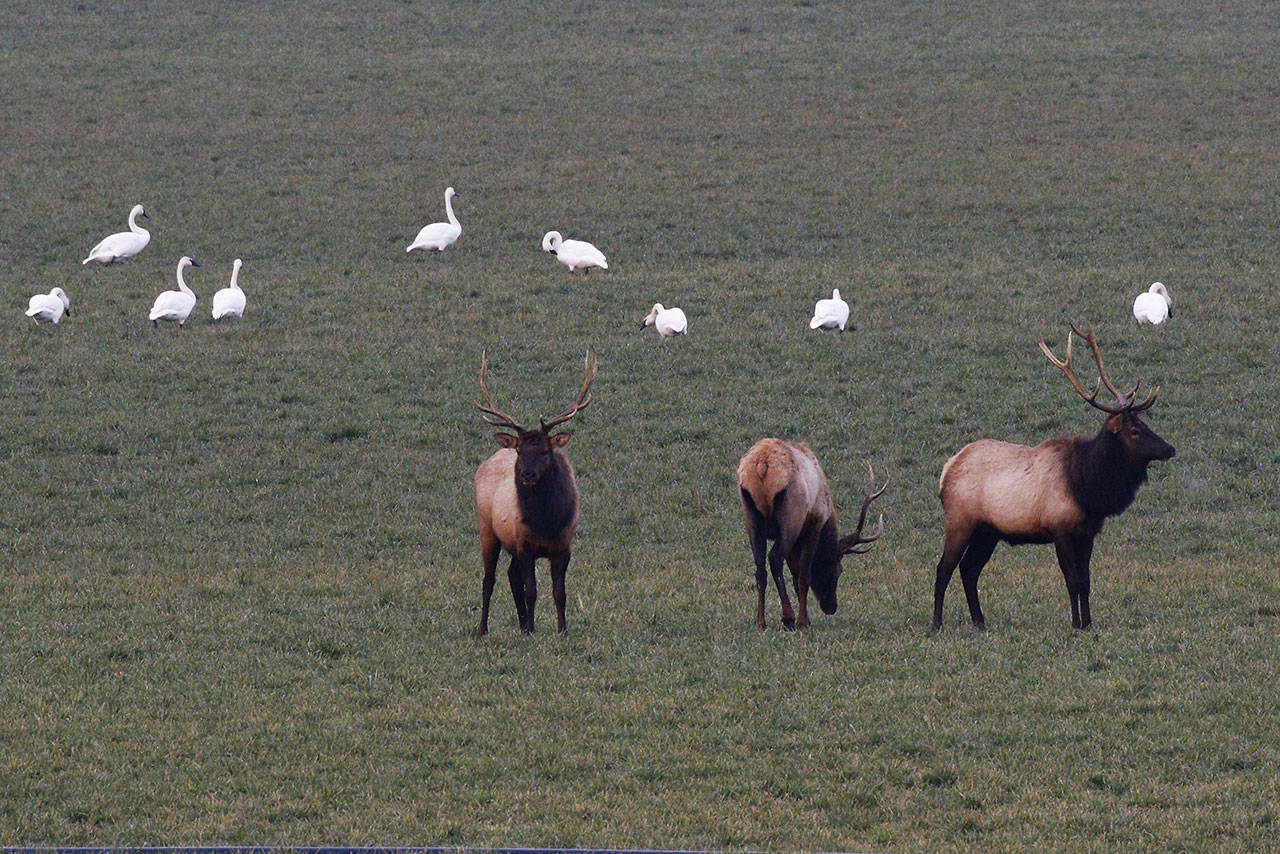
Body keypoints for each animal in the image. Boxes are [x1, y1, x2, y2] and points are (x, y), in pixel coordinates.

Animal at [474, 350, 598, 636]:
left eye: (545, 450)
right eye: (521, 451)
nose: (527, 475)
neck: (546, 522)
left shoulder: (563, 546)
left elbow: (559, 592)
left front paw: (562, 631)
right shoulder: (525, 544)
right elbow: (531, 590)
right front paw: (531, 630)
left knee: (511, 576)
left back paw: (520, 625)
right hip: (488, 529)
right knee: (489, 579)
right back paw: (484, 628)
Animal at [737, 439, 887, 630]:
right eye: (839, 570)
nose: (831, 607)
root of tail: (762, 465)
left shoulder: (797, 542)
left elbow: (795, 575)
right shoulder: (813, 525)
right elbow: (803, 576)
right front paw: (804, 621)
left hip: (752, 518)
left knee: (760, 569)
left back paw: (761, 621)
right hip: (791, 517)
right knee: (775, 558)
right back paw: (789, 618)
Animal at [932, 325, 1176, 632]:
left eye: (1146, 423)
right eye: (1134, 431)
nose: (1170, 448)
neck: (1087, 487)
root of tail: (947, 469)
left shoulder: (1087, 533)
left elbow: (1086, 582)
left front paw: (1088, 624)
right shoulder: (1059, 528)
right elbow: (1072, 581)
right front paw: (1075, 625)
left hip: (988, 531)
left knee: (969, 569)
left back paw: (980, 622)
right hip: (960, 520)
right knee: (944, 568)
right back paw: (937, 624)